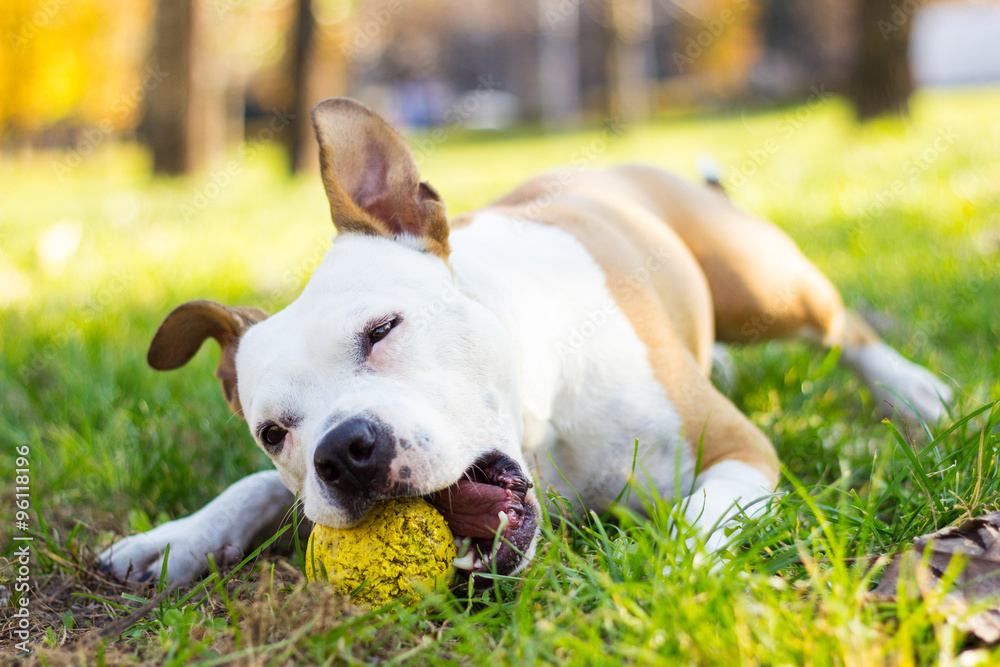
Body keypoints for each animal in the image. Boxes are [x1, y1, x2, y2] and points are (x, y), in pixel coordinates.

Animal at [97, 98, 956, 584]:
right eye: (273, 431)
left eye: (382, 329)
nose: (344, 450)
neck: (540, 422)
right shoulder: (301, 488)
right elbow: (254, 489)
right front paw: (170, 542)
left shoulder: (740, 450)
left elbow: (698, 516)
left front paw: (674, 568)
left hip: (760, 283)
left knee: (840, 323)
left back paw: (912, 389)